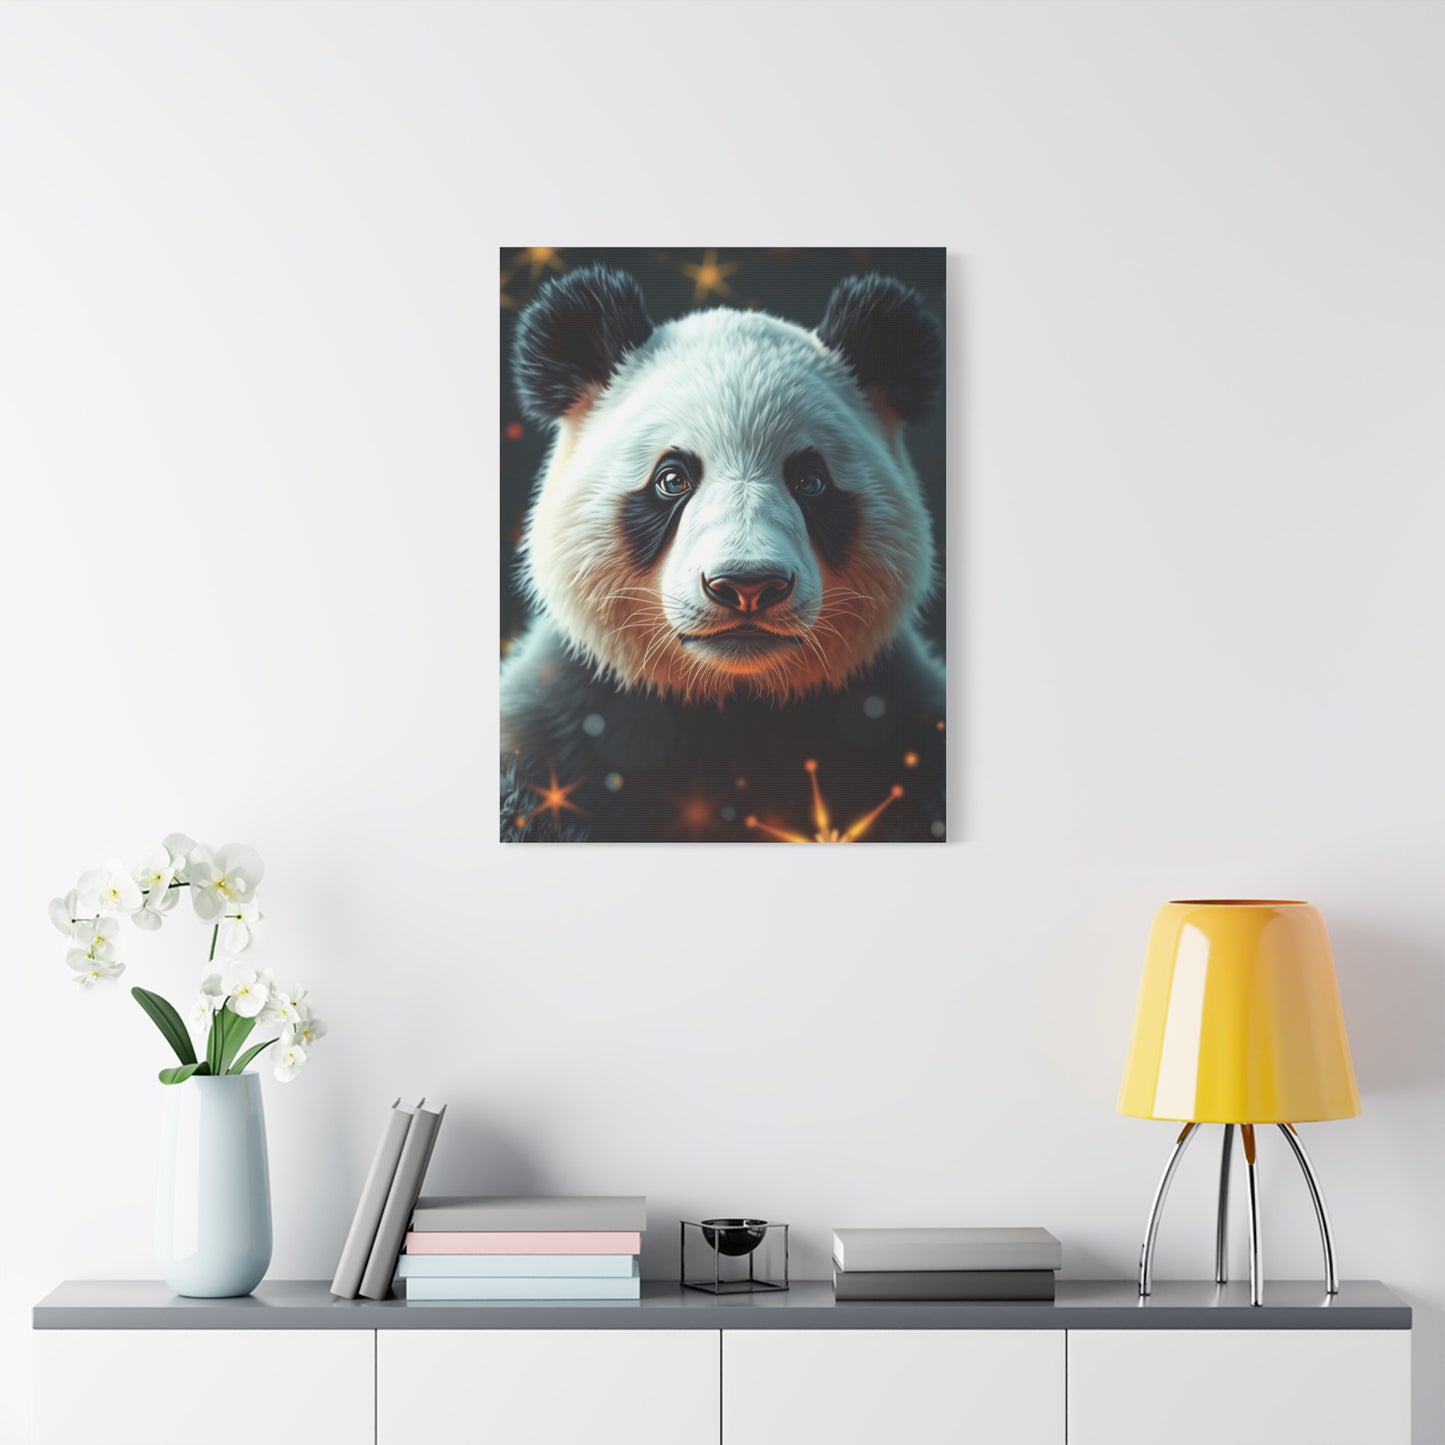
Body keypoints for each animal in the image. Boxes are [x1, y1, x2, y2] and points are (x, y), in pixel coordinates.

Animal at [500, 264, 946, 843]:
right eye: (672, 479)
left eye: (810, 481)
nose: (748, 585)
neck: (731, 706)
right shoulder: (554, 743)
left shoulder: (901, 731)